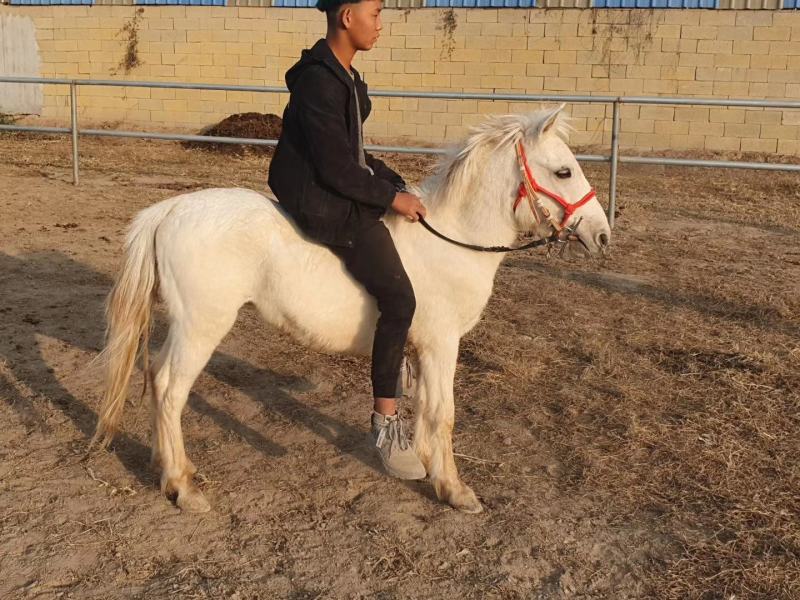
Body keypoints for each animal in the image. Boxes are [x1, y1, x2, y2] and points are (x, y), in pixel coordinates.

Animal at [91, 104, 611, 514]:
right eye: (563, 172)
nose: (602, 234)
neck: (451, 238)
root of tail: (169, 211)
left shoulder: (422, 348)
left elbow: (424, 409)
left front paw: (424, 465)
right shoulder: (442, 343)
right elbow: (442, 413)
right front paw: (455, 490)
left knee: (156, 378)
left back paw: (170, 467)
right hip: (202, 327)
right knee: (168, 389)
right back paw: (181, 488)